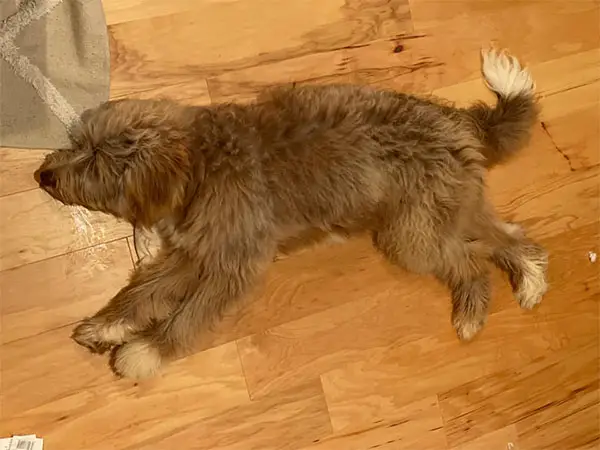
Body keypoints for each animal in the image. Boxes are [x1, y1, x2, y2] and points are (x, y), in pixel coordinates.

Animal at [34, 49, 548, 378]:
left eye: (95, 160)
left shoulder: (230, 265)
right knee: (509, 236)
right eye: (77, 144)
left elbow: (188, 315)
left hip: (413, 235)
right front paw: (108, 326)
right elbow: (142, 293)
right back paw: (530, 280)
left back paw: (472, 315)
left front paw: (142, 354)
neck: (201, 167)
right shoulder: (190, 253)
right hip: (444, 215)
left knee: (473, 263)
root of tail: (459, 120)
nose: (43, 175)